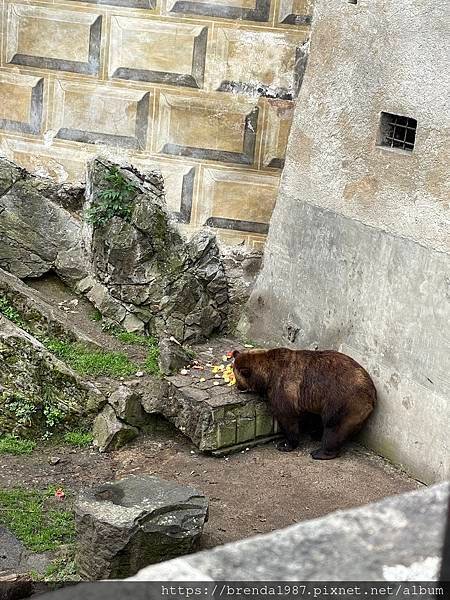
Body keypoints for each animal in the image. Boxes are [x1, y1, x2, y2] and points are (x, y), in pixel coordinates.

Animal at [232, 346, 376, 460]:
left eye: (236, 376)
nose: (238, 387)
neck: (268, 374)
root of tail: (372, 393)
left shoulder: (283, 387)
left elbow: (287, 417)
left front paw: (285, 444)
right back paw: (316, 434)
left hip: (342, 401)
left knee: (334, 427)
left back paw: (320, 452)